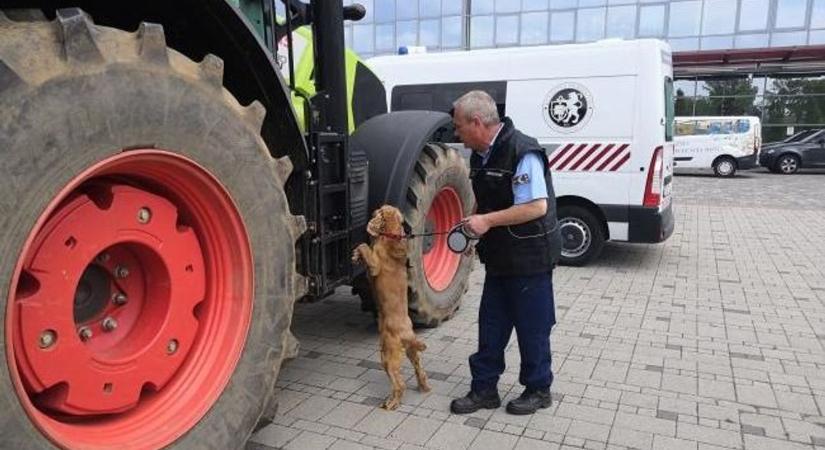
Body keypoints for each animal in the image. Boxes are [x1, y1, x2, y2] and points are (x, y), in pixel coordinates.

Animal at [350, 206, 432, 410]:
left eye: (378, 211)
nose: (372, 213)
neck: (392, 236)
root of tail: (408, 335)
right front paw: (355, 256)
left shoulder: (374, 266)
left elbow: (364, 245)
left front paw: (357, 253)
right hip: (411, 352)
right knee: (419, 369)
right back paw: (424, 387)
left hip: (387, 355)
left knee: (399, 382)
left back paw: (390, 403)